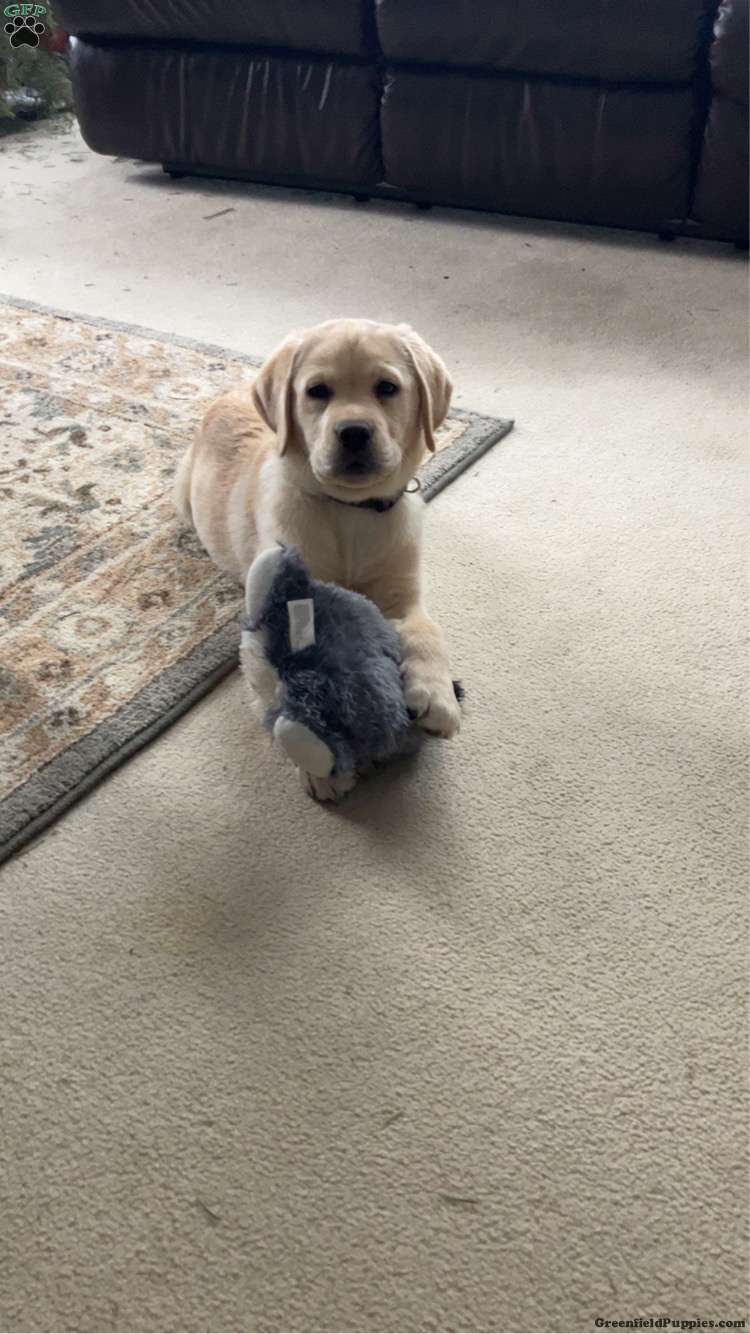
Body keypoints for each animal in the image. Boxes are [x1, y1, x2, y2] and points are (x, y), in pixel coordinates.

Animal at [174, 318, 461, 798]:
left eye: (387, 387)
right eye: (317, 391)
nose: (354, 432)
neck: (350, 511)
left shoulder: (402, 591)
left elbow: (427, 630)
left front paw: (437, 695)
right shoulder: (275, 600)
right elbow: (279, 677)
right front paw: (318, 762)